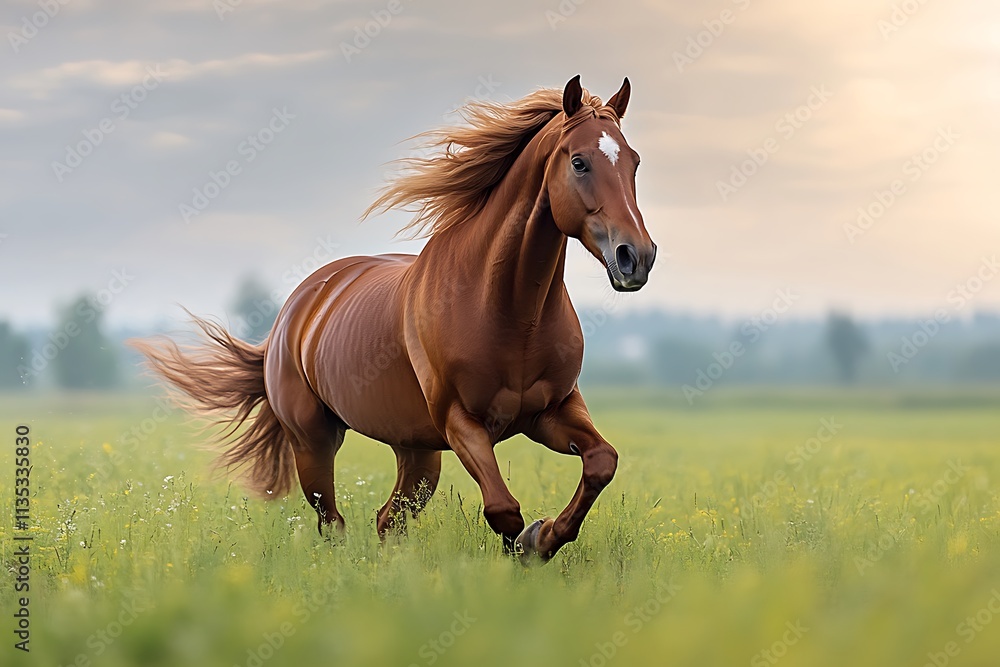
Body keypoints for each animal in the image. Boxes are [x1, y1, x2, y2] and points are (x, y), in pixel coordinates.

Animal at [133, 75, 656, 563]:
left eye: (634, 162)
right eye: (579, 161)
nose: (636, 257)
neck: (510, 311)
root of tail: (295, 311)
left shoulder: (551, 411)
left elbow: (602, 462)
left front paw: (544, 539)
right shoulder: (462, 423)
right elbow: (503, 509)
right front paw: (530, 543)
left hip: (416, 450)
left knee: (389, 520)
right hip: (315, 441)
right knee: (334, 521)